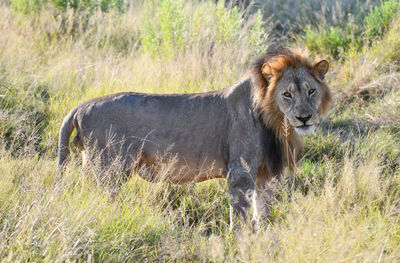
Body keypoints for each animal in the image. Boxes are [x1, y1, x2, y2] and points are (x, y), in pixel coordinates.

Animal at [56, 48, 332, 229]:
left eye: (311, 91)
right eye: (287, 94)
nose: (304, 118)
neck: (278, 123)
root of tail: (80, 107)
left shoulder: (265, 174)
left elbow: (262, 213)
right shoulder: (240, 171)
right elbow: (240, 217)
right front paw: (240, 245)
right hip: (109, 170)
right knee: (96, 200)